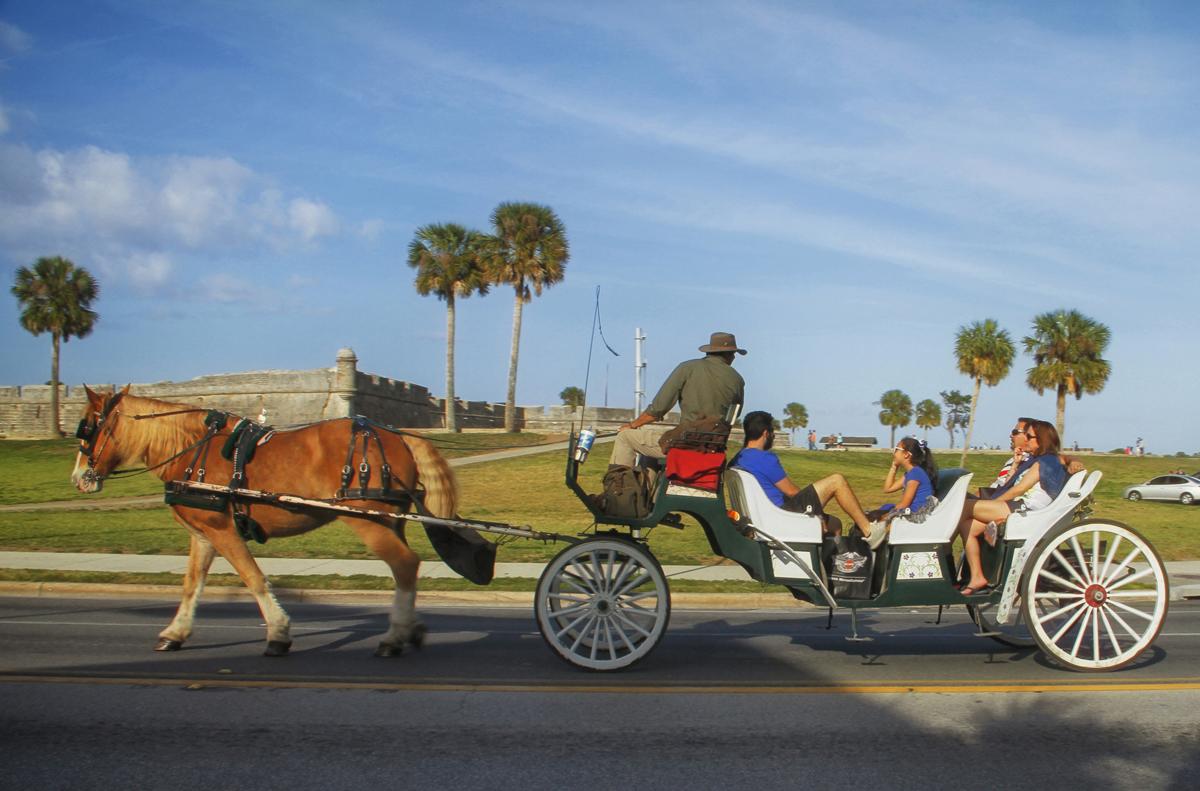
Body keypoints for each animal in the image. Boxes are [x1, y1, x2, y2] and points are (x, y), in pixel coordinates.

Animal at [70, 386, 456, 657]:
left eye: (87, 429)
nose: (78, 478)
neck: (192, 450)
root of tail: (395, 435)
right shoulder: (203, 533)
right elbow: (192, 584)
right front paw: (175, 633)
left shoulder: (222, 529)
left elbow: (253, 578)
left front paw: (279, 633)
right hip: (390, 520)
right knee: (404, 568)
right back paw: (410, 628)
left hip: (367, 520)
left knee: (405, 564)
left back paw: (394, 636)